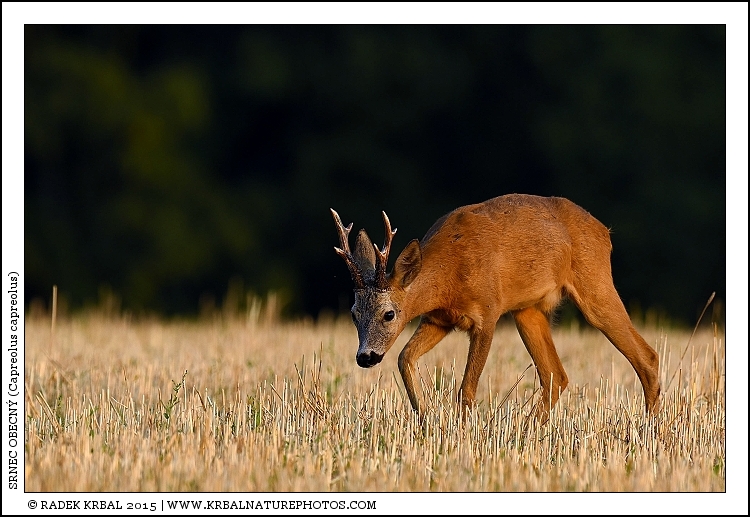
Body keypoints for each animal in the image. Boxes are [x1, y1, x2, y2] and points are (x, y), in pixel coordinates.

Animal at [330, 194, 661, 421]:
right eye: (354, 313)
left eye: (389, 314)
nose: (366, 357)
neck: (449, 274)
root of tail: (604, 231)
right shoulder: (439, 319)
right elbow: (404, 358)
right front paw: (427, 421)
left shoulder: (487, 313)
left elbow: (467, 389)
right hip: (527, 311)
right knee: (556, 376)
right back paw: (525, 434)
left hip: (595, 284)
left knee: (647, 356)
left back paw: (650, 430)